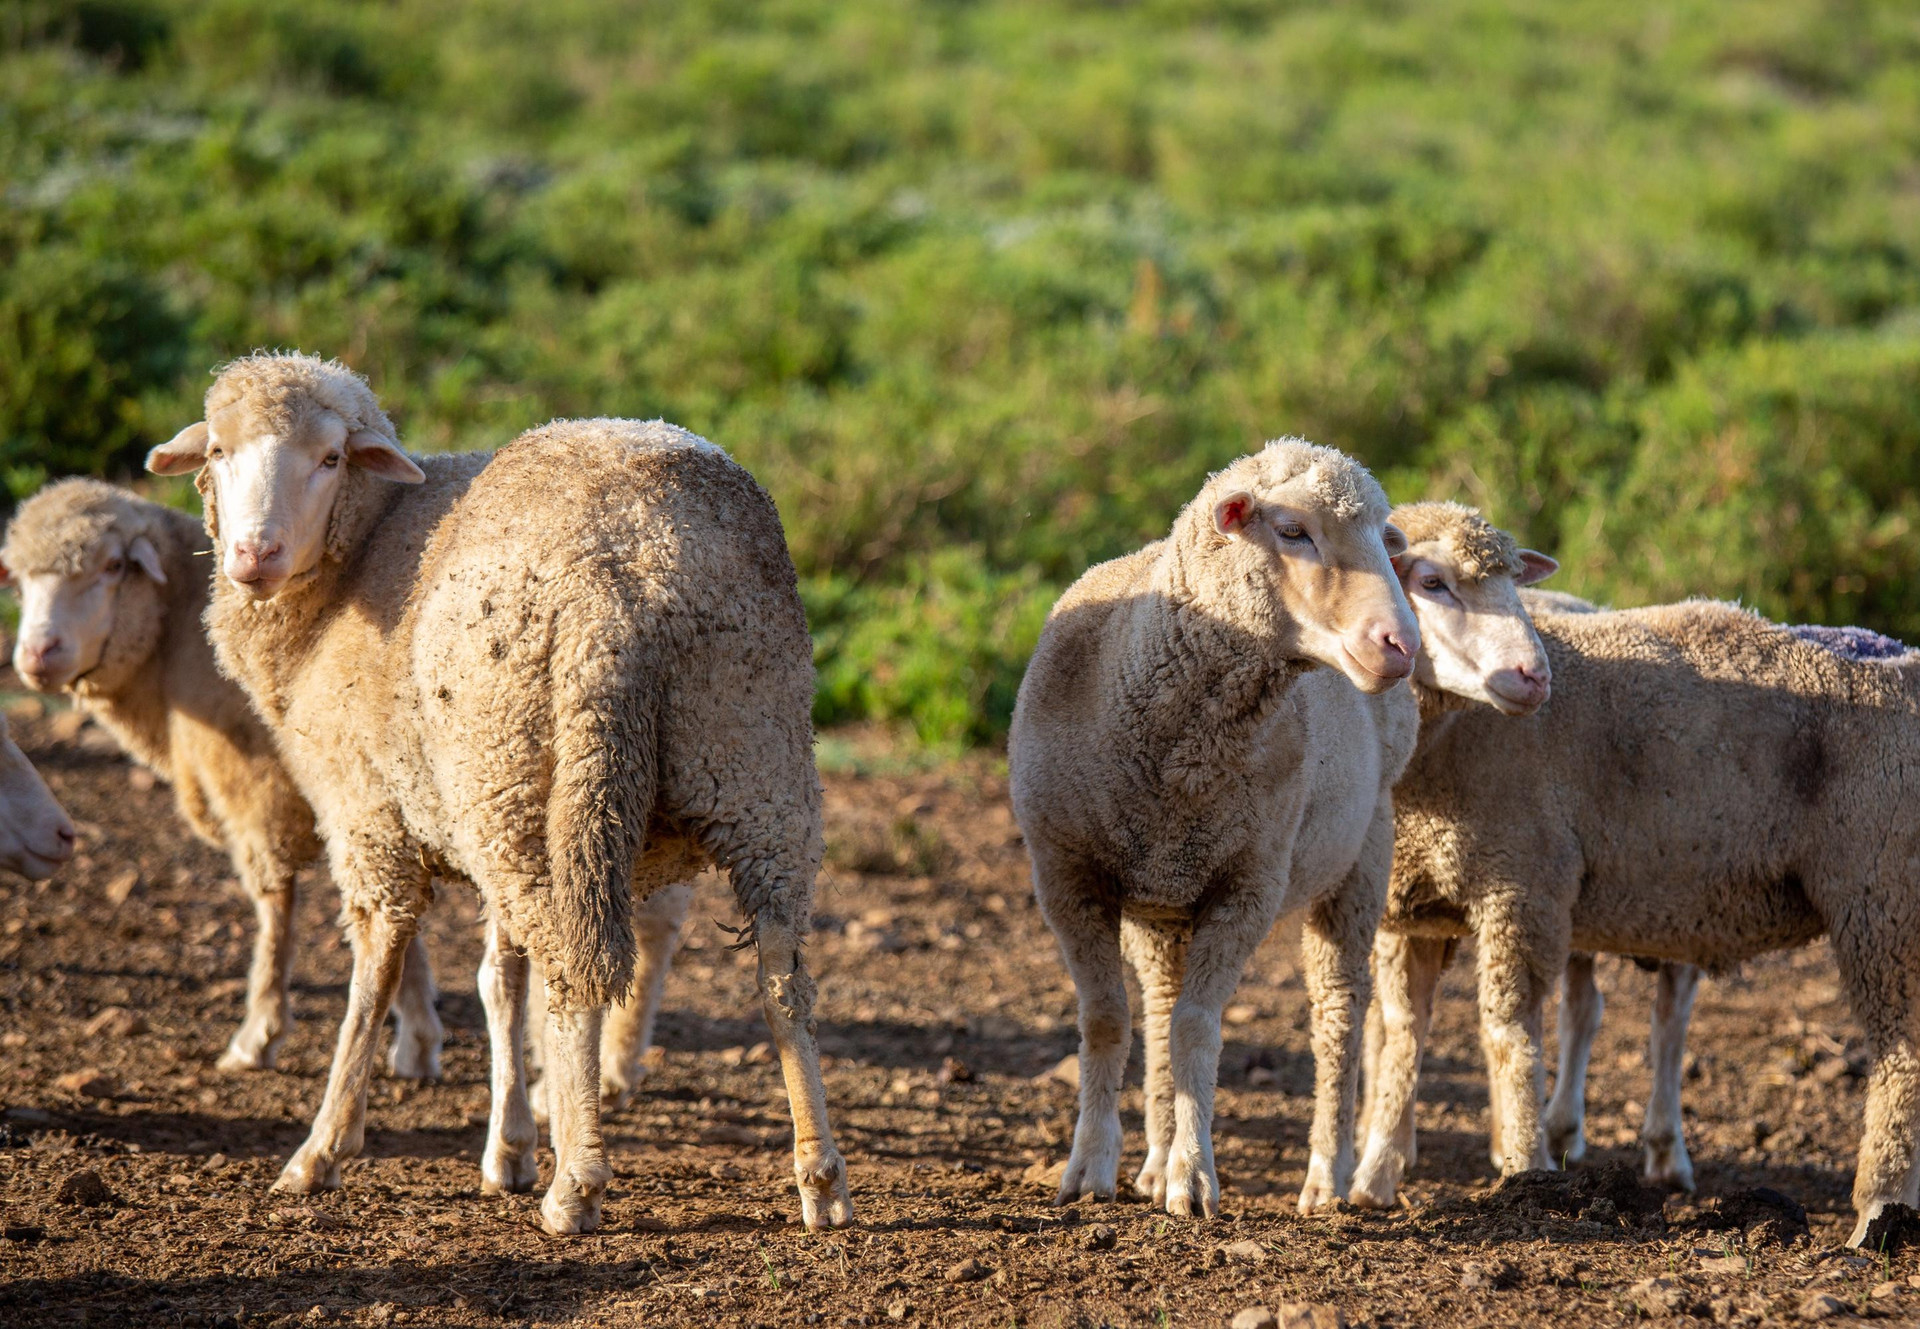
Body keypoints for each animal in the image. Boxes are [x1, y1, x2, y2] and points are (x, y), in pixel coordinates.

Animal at [146, 353, 852, 1236]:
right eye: (220, 451)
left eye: (330, 457)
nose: (254, 554)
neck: (357, 562)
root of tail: (632, 577)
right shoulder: (478, 819)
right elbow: (500, 982)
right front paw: (508, 1146)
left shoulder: (367, 813)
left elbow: (376, 979)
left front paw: (323, 1149)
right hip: (741, 770)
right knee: (782, 979)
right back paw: (819, 1177)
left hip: (528, 775)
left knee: (578, 978)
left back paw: (576, 1183)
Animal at [1009, 439, 1422, 1217]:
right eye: (1291, 530)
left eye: (1382, 539)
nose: (1400, 642)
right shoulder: (1067, 874)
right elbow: (1108, 1019)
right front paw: (1091, 1167)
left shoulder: (1248, 885)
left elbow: (1199, 1027)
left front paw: (1194, 1175)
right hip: (1163, 897)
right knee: (1160, 1003)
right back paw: (1151, 1161)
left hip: (1359, 859)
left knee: (1337, 1016)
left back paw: (1325, 1175)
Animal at [1348, 520, 1920, 1244]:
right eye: (1430, 581)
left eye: (1513, 586)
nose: (1535, 677)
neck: (1445, 745)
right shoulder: (1415, 907)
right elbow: (1403, 1034)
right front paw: (1374, 1175)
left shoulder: (1524, 881)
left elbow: (1510, 1032)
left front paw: (1526, 1170)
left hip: (1882, 891)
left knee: (1901, 1055)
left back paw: (1878, 1207)